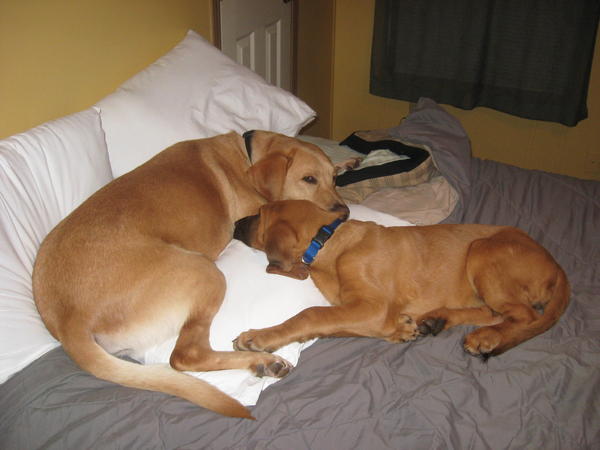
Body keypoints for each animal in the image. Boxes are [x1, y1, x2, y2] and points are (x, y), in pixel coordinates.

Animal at [32, 132, 350, 420]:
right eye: (308, 179)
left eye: (334, 178)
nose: (345, 213)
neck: (247, 157)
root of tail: (68, 319)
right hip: (206, 272)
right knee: (186, 356)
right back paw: (261, 361)